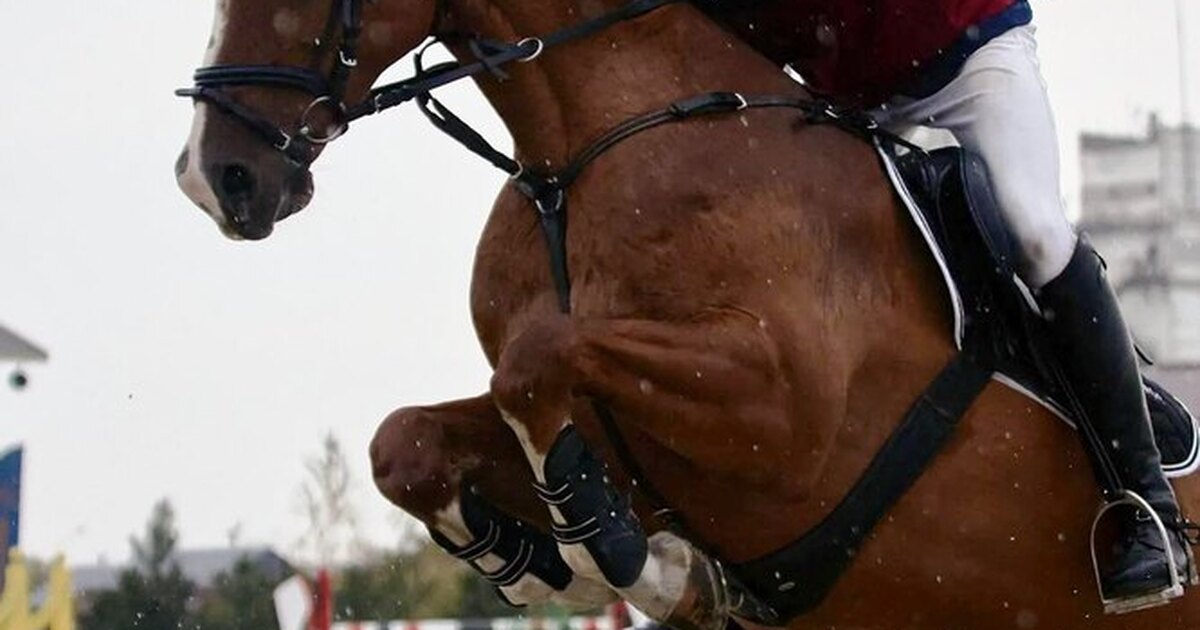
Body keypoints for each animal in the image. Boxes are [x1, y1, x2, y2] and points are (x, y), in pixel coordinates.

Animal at [174, 0, 1200, 627]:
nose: (210, 179)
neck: (582, 155)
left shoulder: (781, 414)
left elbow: (538, 358)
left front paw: (630, 562)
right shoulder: (621, 432)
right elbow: (409, 441)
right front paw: (583, 562)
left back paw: (1148, 543)